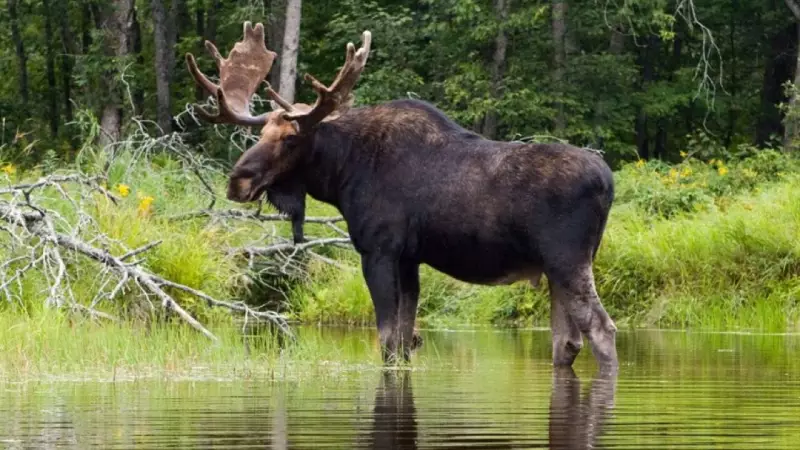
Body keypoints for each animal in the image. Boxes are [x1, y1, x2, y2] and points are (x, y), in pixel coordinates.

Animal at [183, 22, 619, 371]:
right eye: (260, 133)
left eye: (291, 138)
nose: (237, 181)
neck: (341, 173)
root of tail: (609, 182)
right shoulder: (410, 258)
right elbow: (407, 342)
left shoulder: (379, 250)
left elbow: (389, 341)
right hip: (559, 268)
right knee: (567, 342)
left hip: (567, 260)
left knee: (602, 331)